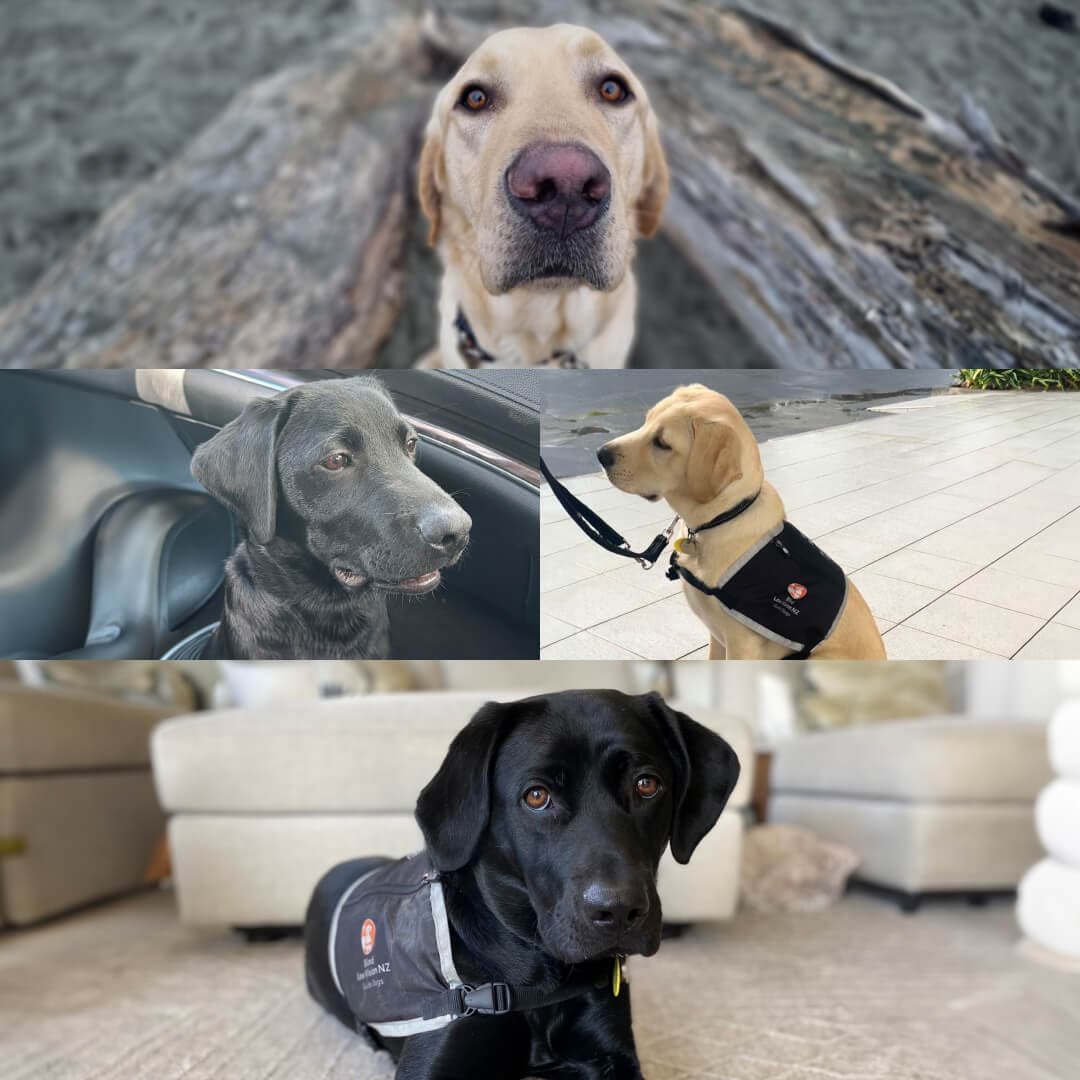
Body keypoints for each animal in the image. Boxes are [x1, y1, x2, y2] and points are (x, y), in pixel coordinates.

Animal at [600, 386, 885, 656]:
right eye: (646, 421)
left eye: (662, 443)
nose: (601, 455)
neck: (724, 516)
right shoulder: (717, 637)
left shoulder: (742, 645)